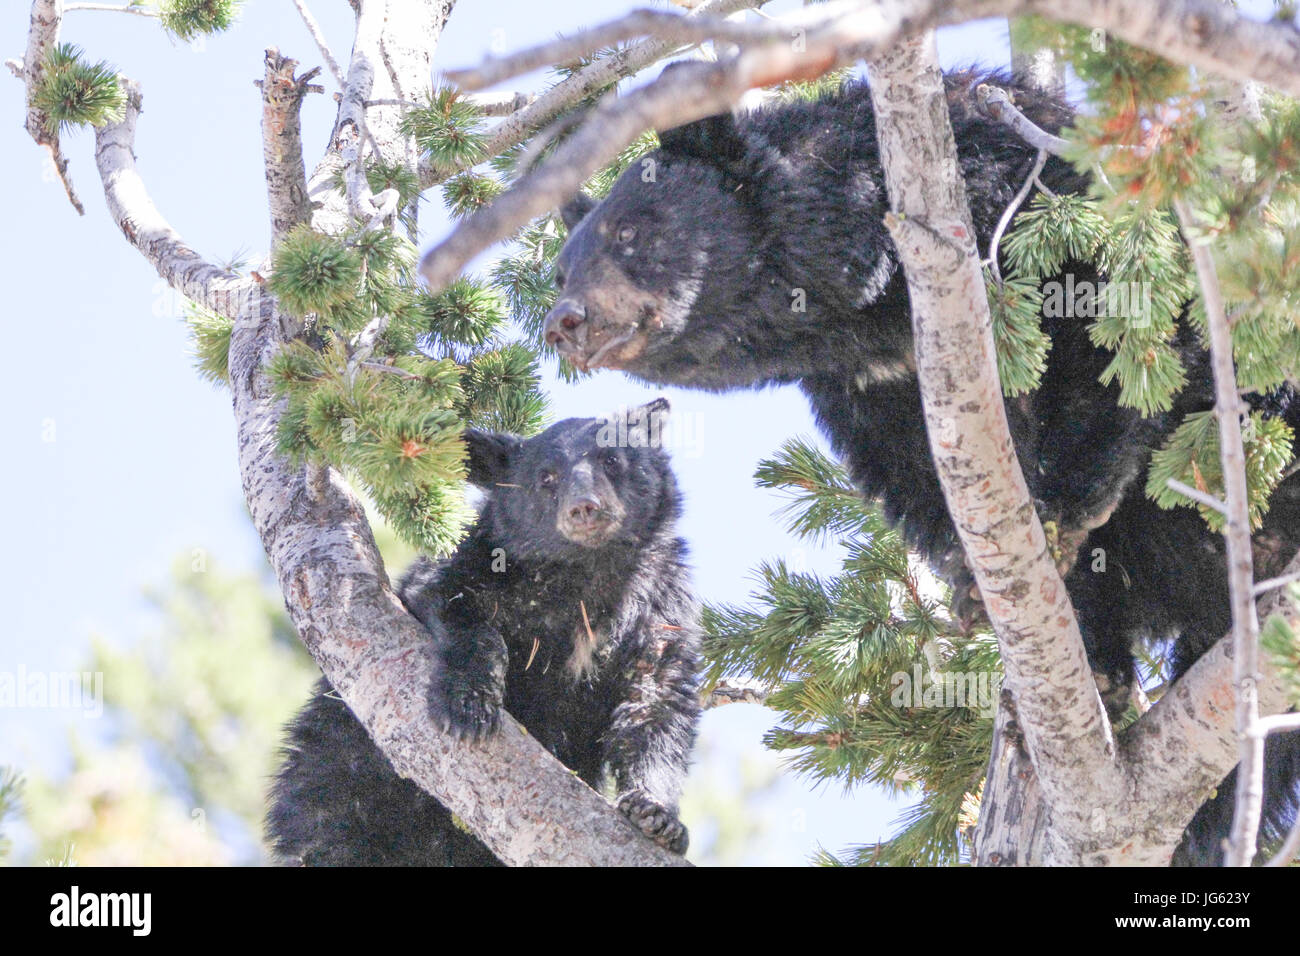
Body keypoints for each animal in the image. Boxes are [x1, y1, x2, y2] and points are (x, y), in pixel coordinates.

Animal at [266, 398, 701, 865]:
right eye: (546, 476)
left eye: (612, 459)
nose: (584, 507)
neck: (586, 575)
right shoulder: (483, 561)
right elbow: (454, 604)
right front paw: (470, 706)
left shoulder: (661, 604)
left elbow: (657, 705)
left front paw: (657, 815)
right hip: (334, 769)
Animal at [540, 70, 1300, 866]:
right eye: (560, 268)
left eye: (632, 230)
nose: (564, 320)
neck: (870, 303)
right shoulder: (871, 385)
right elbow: (914, 467)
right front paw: (973, 580)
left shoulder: (1022, 192)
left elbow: (1111, 323)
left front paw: (1067, 501)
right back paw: (1099, 665)